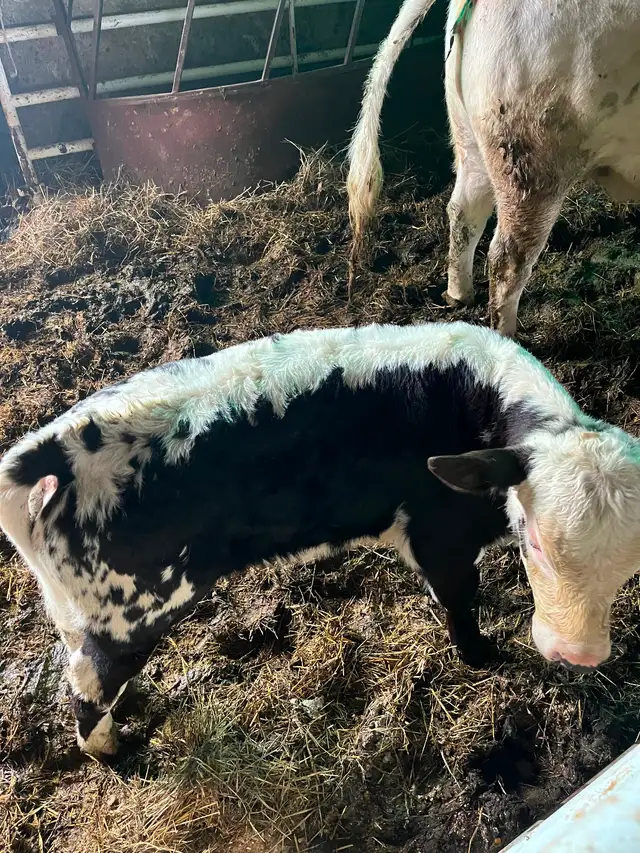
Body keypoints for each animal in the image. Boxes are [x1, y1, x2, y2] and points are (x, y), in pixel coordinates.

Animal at [1, 321, 639, 757]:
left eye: (630, 567)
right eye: (534, 540)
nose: (578, 654)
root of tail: (40, 455)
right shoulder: (440, 536)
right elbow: (460, 600)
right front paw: (480, 657)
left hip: (84, 613)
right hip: (126, 613)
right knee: (87, 689)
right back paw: (117, 751)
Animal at [347, 0, 640, 337]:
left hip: (470, 135)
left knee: (463, 211)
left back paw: (457, 295)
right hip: (533, 150)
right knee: (508, 258)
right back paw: (507, 335)